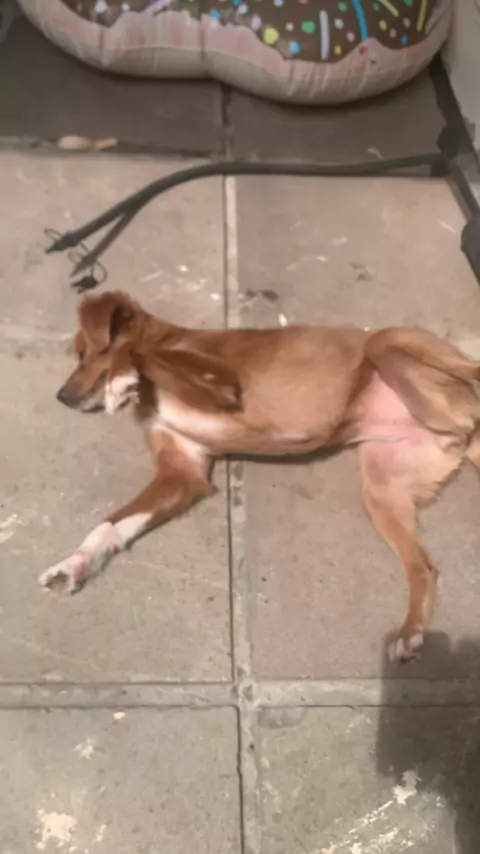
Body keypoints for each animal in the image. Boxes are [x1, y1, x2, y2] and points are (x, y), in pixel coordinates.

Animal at [40, 290, 480, 662]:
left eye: (83, 354)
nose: (60, 397)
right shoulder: (183, 473)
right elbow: (112, 525)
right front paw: (75, 564)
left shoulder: (222, 385)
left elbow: (139, 350)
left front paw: (121, 377)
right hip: (382, 491)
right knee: (424, 567)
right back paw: (409, 632)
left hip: (391, 343)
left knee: (471, 376)